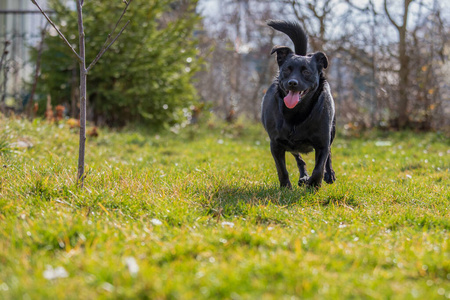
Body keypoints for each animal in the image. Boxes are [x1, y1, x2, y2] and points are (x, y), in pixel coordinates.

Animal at [260, 20, 334, 190]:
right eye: (286, 70)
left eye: (306, 72)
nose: (292, 83)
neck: (296, 112)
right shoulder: (276, 144)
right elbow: (282, 169)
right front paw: (286, 187)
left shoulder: (323, 143)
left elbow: (319, 167)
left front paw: (314, 185)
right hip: (291, 145)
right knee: (299, 159)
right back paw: (303, 176)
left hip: (332, 131)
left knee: (328, 157)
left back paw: (329, 174)